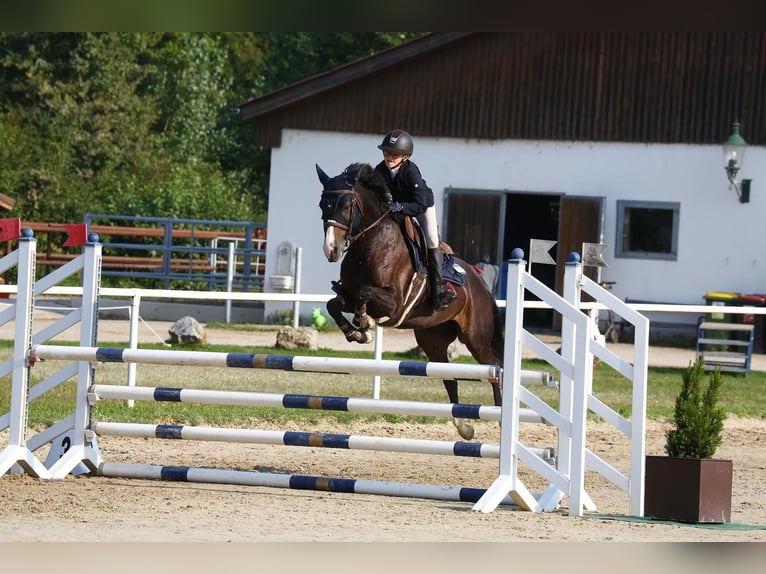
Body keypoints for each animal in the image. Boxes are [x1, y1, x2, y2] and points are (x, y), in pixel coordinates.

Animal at [316, 162, 508, 440]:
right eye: (323, 204)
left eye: (346, 205)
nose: (331, 250)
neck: (370, 243)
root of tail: (479, 281)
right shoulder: (347, 296)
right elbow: (335, 305)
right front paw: (357, 334)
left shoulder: (394, 302)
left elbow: (365, 294)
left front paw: (364, 323)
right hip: (433, 340)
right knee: (450, 378)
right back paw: (464, 427)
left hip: (476, 338)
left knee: (495, 368)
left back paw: (501, 416)